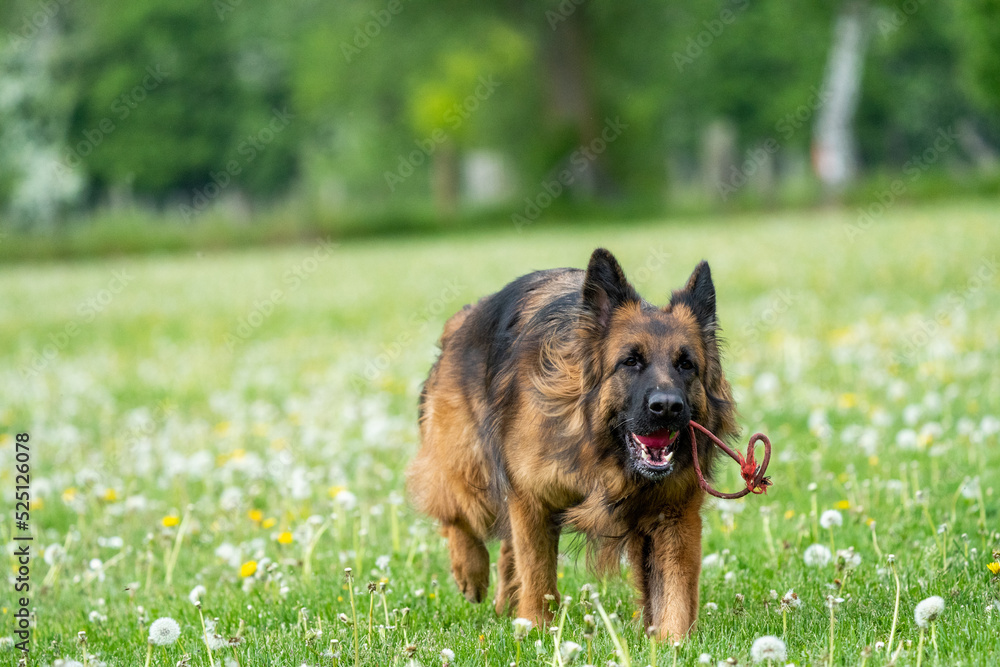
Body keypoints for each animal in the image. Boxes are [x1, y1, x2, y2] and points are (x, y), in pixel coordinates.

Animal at [406, 248, 737, 640]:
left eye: (686, 364)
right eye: (630, 361)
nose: (668, 407)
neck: (603, 452)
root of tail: (466, 316)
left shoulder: (673, 516)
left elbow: (675, 590)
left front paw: (673, 642)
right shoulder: (532, 499)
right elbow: (537, 572)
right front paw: (537, 629)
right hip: (468, 460)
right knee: (456, 509)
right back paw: (470, 572)